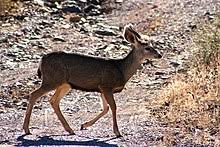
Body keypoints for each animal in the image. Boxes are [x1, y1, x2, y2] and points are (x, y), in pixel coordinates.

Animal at [22, 23, 162, 137]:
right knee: (34, 94)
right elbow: (113, 107)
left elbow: (105, 109)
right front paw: (117, 132)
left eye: (152, 45)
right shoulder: (106, 85)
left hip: (64, 84)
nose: (159, 55)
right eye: (147, 48)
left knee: (53, 101)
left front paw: (84, 125)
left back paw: (69, 129)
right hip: (51, 79)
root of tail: (41, 60)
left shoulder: (101, 89)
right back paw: (27, 129)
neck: (121, 69)